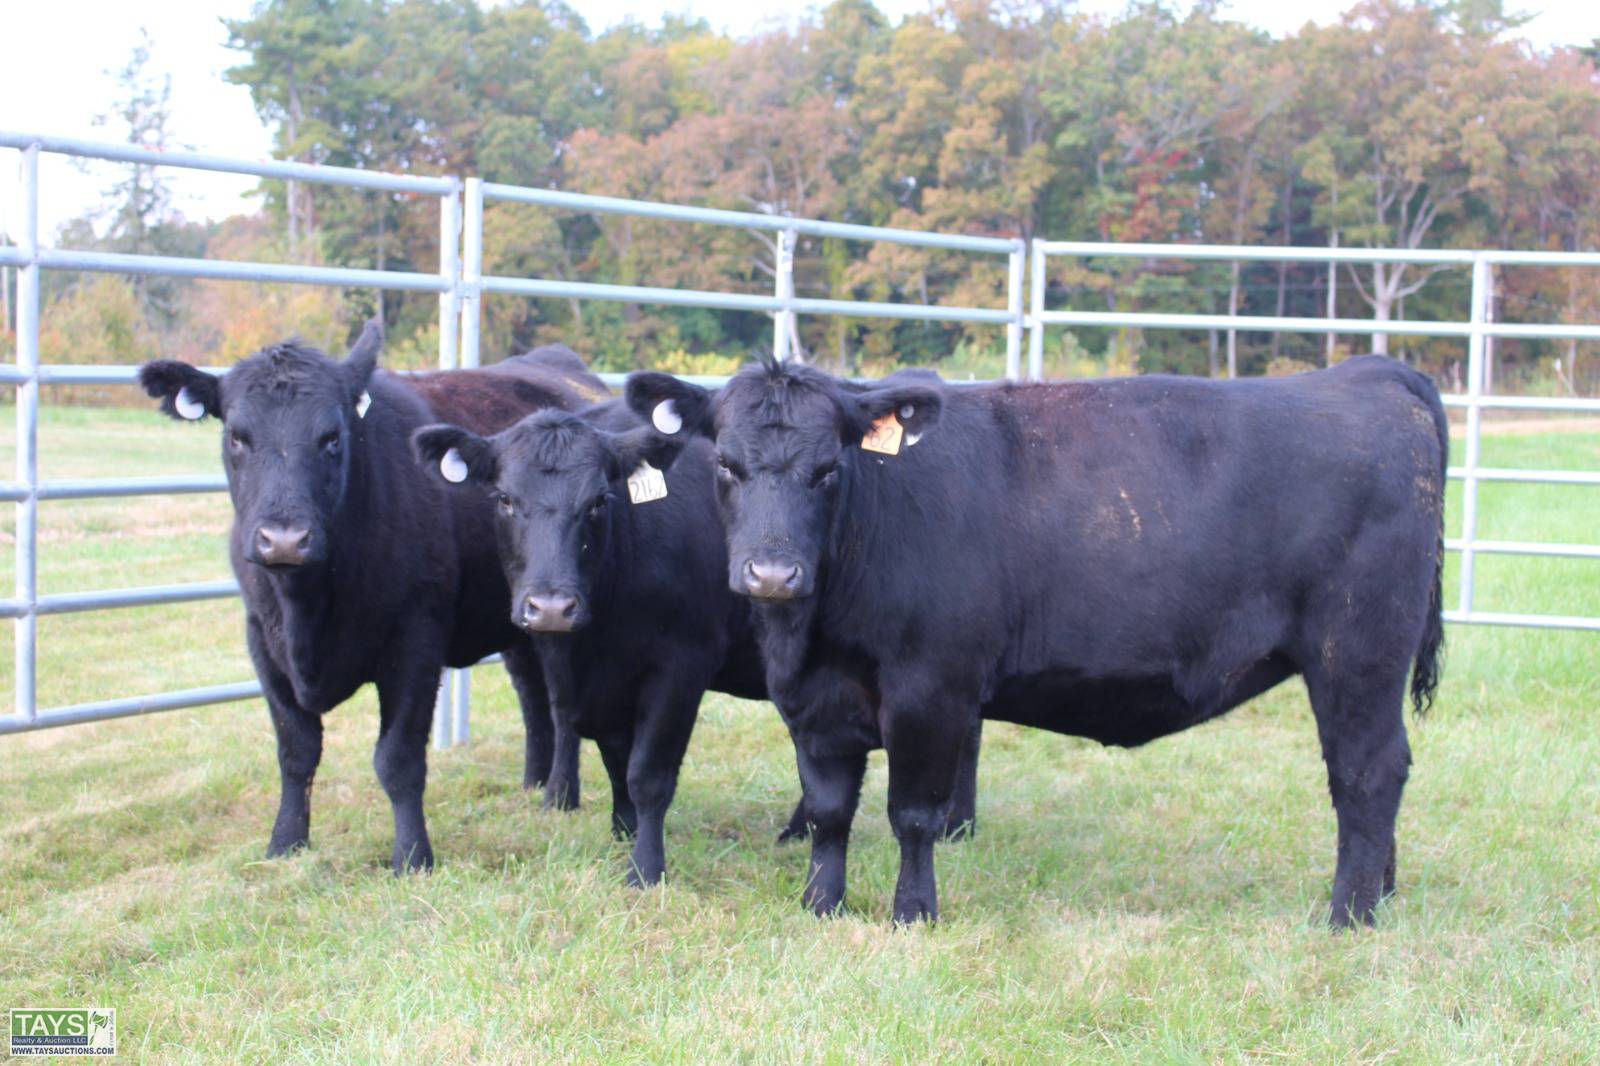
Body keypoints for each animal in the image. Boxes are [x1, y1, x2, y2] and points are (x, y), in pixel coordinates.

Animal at [138, 321, 609, 872]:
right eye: (237, 435)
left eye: (332, 437)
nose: (284, 538)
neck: (307, 611)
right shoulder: (262, 640)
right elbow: (295, 751)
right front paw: (285, 842)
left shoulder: (416, 640)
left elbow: (398, 758)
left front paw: (412, 855)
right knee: (532, 692)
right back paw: (533, 781)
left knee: (560, 702)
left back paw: (559, 794)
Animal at [410, 401, 768, 884]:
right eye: (504, 498)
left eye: (598, 501)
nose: (551, 607)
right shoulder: (582, 680)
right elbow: (616, 762)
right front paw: (623, 829)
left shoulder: (682, 666)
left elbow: (647, 774)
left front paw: (645, 868)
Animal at [626, 354, 1447, 927]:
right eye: (726, 464)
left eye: (829, 470)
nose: (771, 572)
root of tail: (1367, 373)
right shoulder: (814, 702)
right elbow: (829, 811)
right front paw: (820, 905)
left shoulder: (931, 688)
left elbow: (913, 813)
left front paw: (912, 914)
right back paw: (1384, 894)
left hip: (1358, 652)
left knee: (1367, 773)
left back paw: (1349, 916)